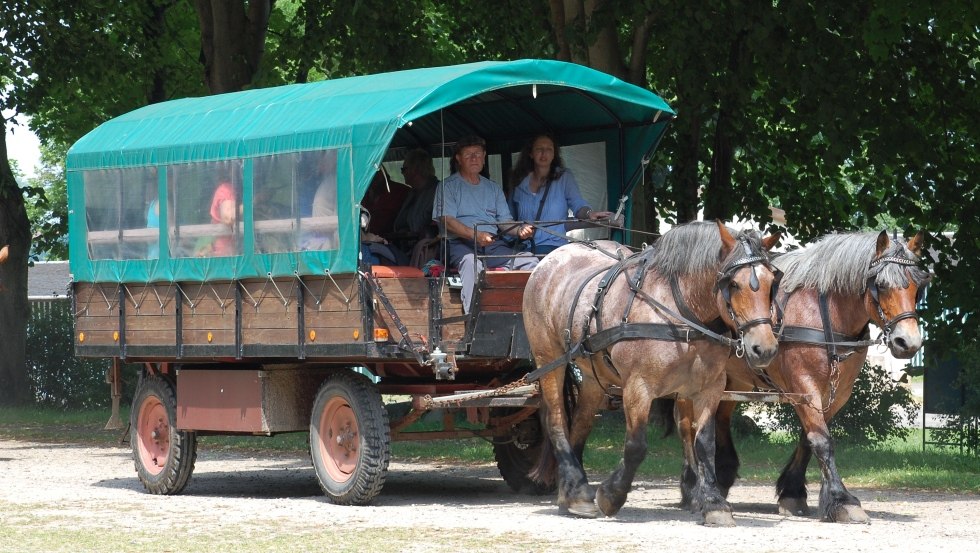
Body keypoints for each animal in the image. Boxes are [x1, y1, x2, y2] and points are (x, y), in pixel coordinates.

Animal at [520, 220, 780, 528]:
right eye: (734, 284)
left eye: (771, 283)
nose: (764, 348)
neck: (680, 312)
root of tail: (551, 258)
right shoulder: (638, 387)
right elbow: (636, 446)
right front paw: (611, 495)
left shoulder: (710, 388)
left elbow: (705, 443)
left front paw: (715, 504)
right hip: (549, 359)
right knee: (557, 420)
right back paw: (578, 489)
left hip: (595, 375)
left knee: (580, 424)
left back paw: (571, 494)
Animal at [672, 229, 928, 520]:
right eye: (882, 285)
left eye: (918, 287)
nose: (908, 342)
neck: (823, 313)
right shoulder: (804, 387)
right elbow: (822, 441)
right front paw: (842, 500)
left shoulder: (837, 393)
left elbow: (809, 438)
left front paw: (792, 492)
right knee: (686, 425)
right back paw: (693, 488)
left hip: (730, 379)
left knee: (720, 417)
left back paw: (722, 476)